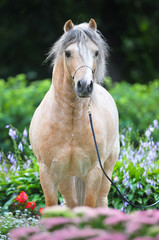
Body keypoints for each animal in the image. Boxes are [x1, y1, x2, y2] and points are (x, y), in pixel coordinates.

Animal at [29, 18, 119, 208]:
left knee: (101, 202)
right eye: (68, 53)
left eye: (96, 52)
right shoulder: (48, 174)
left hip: (106, 170)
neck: (70, 120)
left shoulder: (94, 173)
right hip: (66, 179)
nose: (84, 85)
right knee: (71, 204)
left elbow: (89, 207)